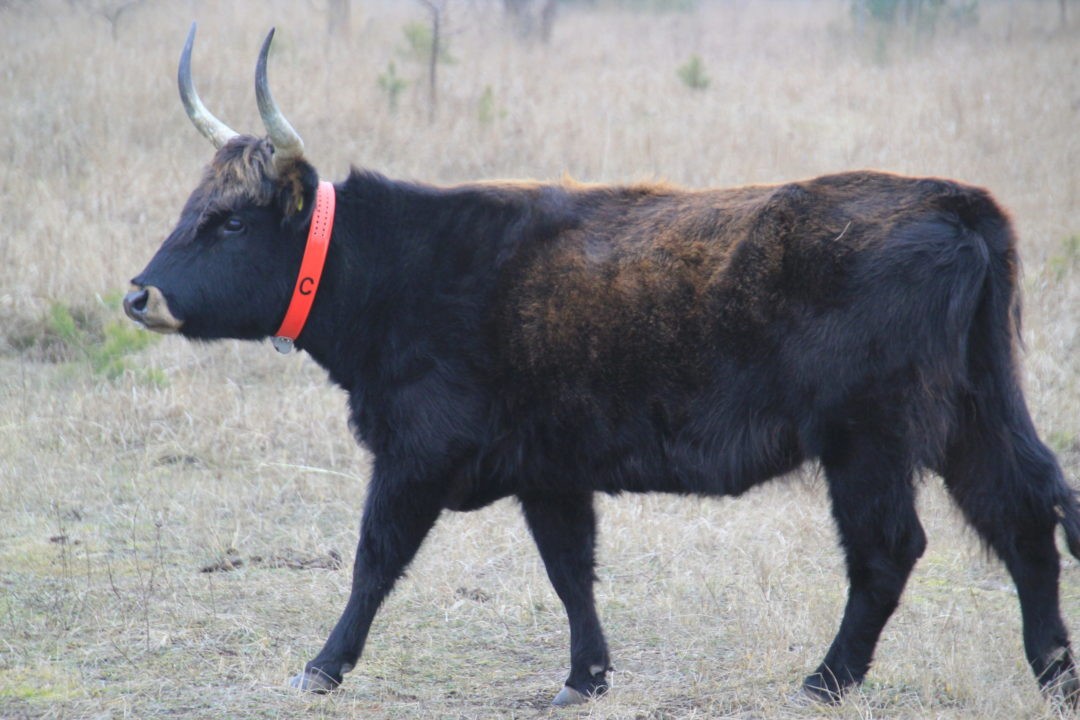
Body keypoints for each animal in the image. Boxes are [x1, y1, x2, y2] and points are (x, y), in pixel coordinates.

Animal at [124, 24, 1080, 708]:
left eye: (231, 221)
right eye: (192, 207)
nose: (139, 295)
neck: (405, 262)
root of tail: (952, 200)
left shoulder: (416, 457)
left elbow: (373, 562)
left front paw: (322, 667)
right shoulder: (549, 471)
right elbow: (570, 570)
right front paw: (584, 678)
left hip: (871, 444)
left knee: (891, 550)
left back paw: (825, 681)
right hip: (976, 417)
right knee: (1026, 518)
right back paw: (1054, 675)